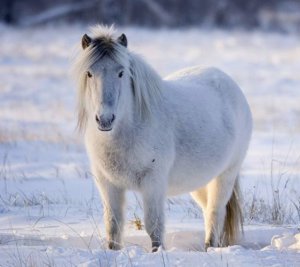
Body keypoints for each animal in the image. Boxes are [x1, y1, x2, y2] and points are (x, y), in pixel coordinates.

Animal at [73, 25, 253, 253]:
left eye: (121, 72)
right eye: (89, 73)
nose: (105, 119)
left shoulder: (153, 182)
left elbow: (154, 226)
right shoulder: (108, 183)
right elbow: (113, 227)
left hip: (225, 175)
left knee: (215, 213)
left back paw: (210, 248)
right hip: (201, 182)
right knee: (207, 212)